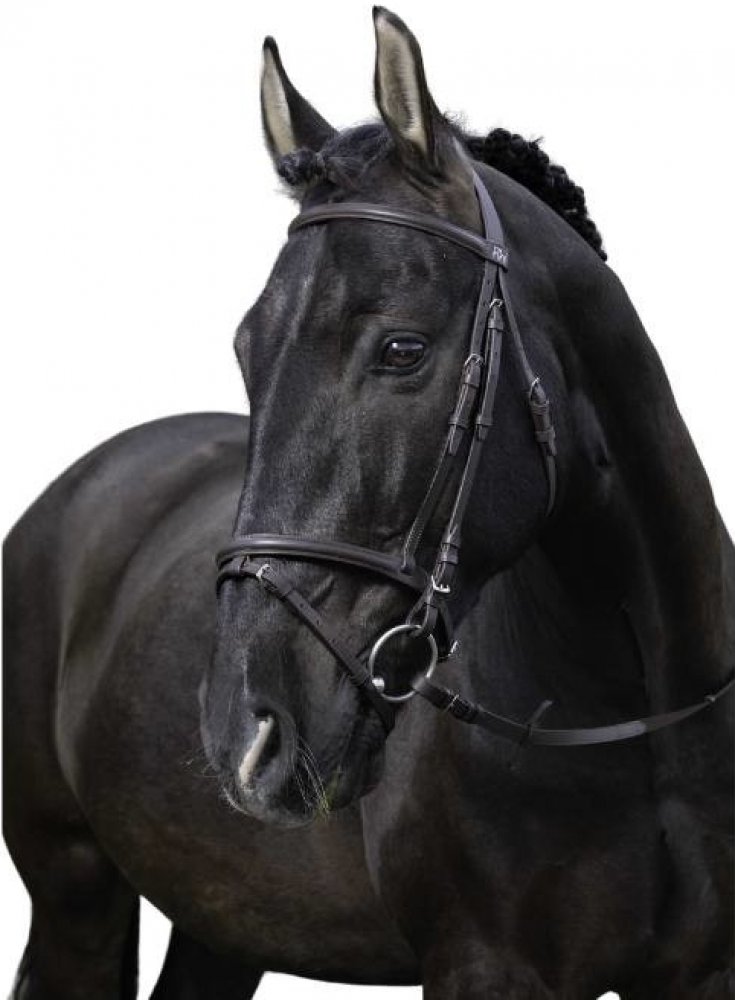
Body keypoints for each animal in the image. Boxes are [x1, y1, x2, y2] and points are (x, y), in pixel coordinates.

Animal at [3, 7, 733, 998]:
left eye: (400, 350)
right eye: (247, 349)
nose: (245, 734)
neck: (636, 714)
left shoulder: (705, 970)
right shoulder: (484, 966)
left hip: (223, 922)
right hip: (73, 887)